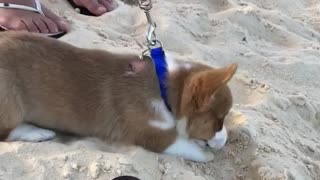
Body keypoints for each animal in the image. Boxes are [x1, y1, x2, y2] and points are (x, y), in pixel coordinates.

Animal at [0, 31, 236, 162]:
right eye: (218, 121)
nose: (225, 142)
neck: (164, 90)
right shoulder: (152, 136)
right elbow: (185, 145)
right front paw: (206, 154)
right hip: (9, 100)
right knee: (6, 132)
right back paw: (35, 133)